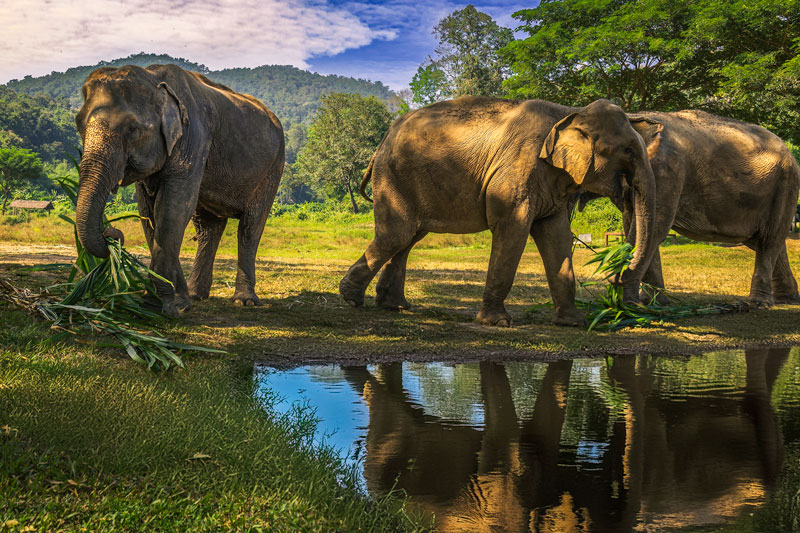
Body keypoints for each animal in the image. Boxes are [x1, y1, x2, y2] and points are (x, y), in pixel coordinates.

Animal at [75, 64, 285, 316]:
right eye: (79, 124)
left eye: (132, 128)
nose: (111, 234)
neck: (153, 78)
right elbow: (150, 215)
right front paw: (178, 303)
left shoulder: (193, 138)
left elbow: (172, 209)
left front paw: (159, 307)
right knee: (208, 228)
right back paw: (196, 295)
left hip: (273, 168)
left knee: (250, 228)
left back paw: (244, 301)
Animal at [339, 97, 658, 327]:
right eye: (629, 151)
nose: (615, 280)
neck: (570, 112)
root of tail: (382, 141)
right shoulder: (517, 173)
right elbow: (512, 229)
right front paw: (497, 323)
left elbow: (556, 237)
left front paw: (574, 323)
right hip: (395, 176)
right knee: (397, 234)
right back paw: (351, 299)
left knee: (409, 237)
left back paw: (394, 306)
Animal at [582, 110, 800, 306]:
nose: (609, 275)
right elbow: (637, 226)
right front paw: (652, 302)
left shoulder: (665, 170)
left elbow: (652, 229)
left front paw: (629, 304)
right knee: (768, 242)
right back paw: (787, 299)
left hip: (785, 185)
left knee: (769, 240)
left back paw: (758, 303)